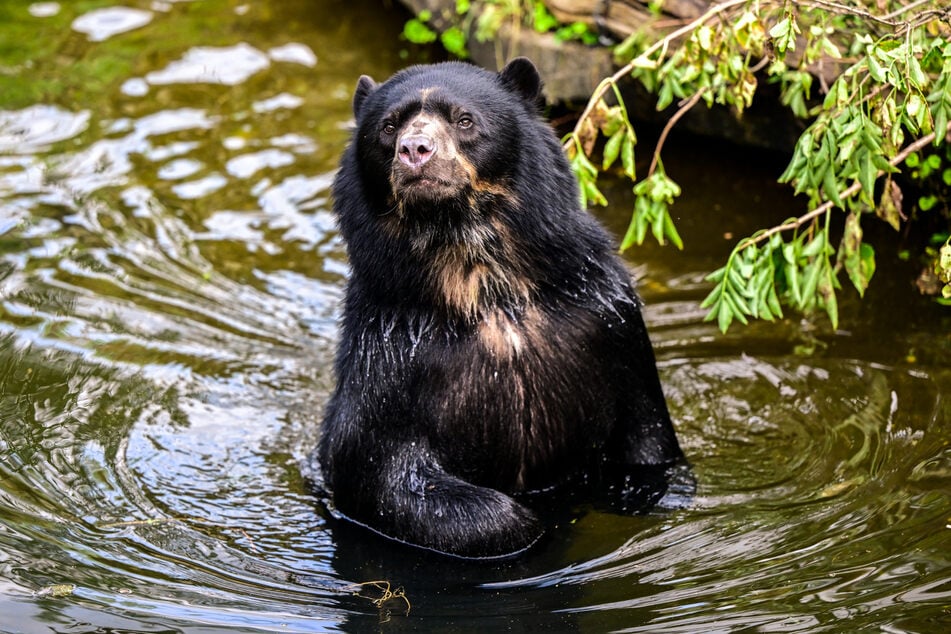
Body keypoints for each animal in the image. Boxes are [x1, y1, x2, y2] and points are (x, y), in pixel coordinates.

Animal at [318, 56, 684, 556]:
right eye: (388, 127)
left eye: (465, 120)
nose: (415, 150)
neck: (483, 281)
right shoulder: (389, 349)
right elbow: (376, 468)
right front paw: (527, 525)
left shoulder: (607, 316)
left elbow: (647, 437)